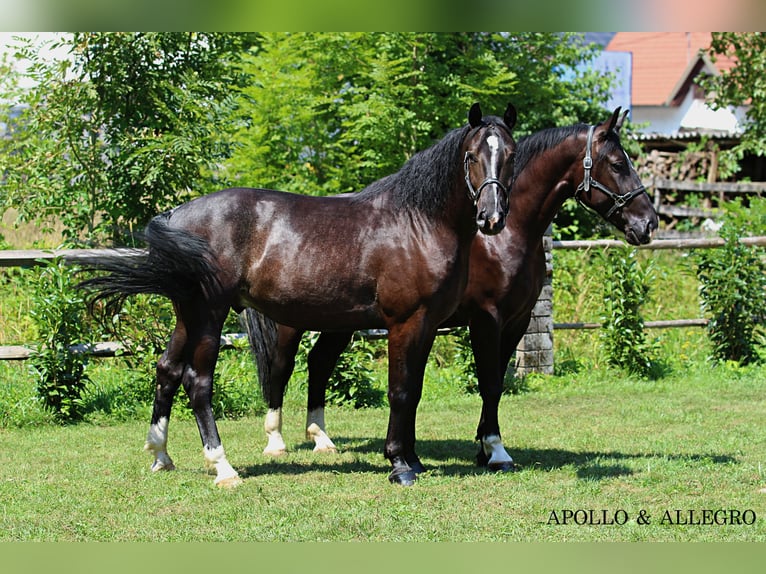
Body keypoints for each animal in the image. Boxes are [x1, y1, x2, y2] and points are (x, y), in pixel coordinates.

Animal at [81, 102, 520, 486]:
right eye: (472, 155)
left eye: (511, 155)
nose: (492, 217)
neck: (416, 223)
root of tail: (176, 215)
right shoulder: (405, 322)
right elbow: (400, 391)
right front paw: (399, 465)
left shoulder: (427, 325)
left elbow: (413, 392)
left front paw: (412, 459)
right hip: (209, 314)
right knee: (197, 381)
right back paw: (223, 468)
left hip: (187, 313)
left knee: (167, 371)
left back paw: (160, 455)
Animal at [244, 107, 660, 472]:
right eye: (618, 164)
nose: (649, 223)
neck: (506, 237)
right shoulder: (485, 319)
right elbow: (489, 382)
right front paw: (495, 451)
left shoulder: (516, 322)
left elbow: (492, 383)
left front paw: (481, 448)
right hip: (291, 323)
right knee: (281, 368)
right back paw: (276, 442)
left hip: (339, 322)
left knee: (319, 363)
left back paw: (322, 439)